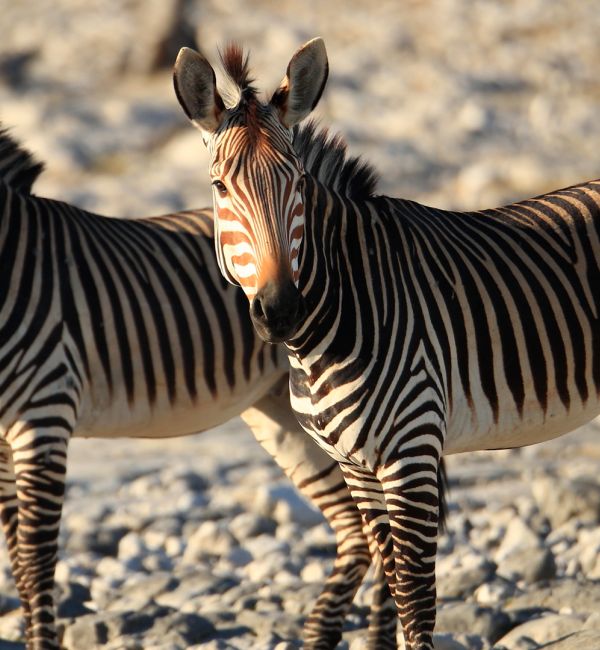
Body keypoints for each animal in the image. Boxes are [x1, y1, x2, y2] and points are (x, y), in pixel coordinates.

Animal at [173, 37, 600, 650]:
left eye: (298, 183)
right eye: (219, 188)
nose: (280, 310)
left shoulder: (412, 451)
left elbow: (415, 603)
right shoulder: (357, 466)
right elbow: (394, 586)